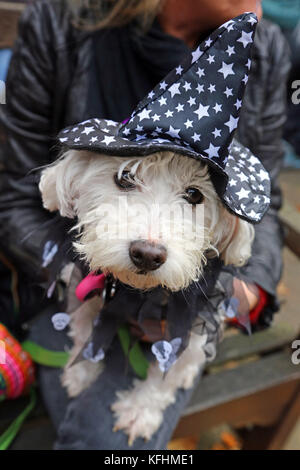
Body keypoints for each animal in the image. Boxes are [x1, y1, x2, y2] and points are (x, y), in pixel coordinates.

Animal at [38, 151, 253, 444]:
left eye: (195, 194)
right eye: (124, 177)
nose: (148, 255)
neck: (139, 292)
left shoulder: (188, 326)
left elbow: (165, 380)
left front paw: (139, 411)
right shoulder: (86, 295)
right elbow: (84, 336)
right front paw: (80, 372)